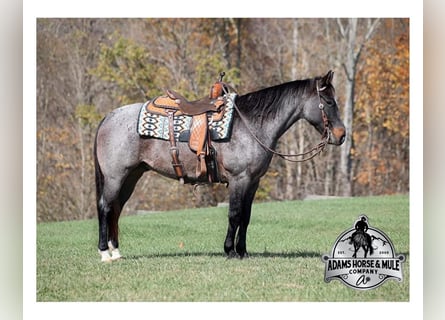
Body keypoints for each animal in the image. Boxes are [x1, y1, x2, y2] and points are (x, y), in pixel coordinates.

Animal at [93, 70, 344, 262]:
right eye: (329, 102)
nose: (341, 135)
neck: (250, 124)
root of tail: (108, 117)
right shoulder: (238, 179)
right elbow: (234, 214)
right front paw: (230, 251)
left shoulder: (253, 182)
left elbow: (246, 216)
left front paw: (242, 251)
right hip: (115, 177)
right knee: (105, 207)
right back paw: (105, 253)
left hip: (131, 177)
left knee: (116, 208)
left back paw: (116, 251)